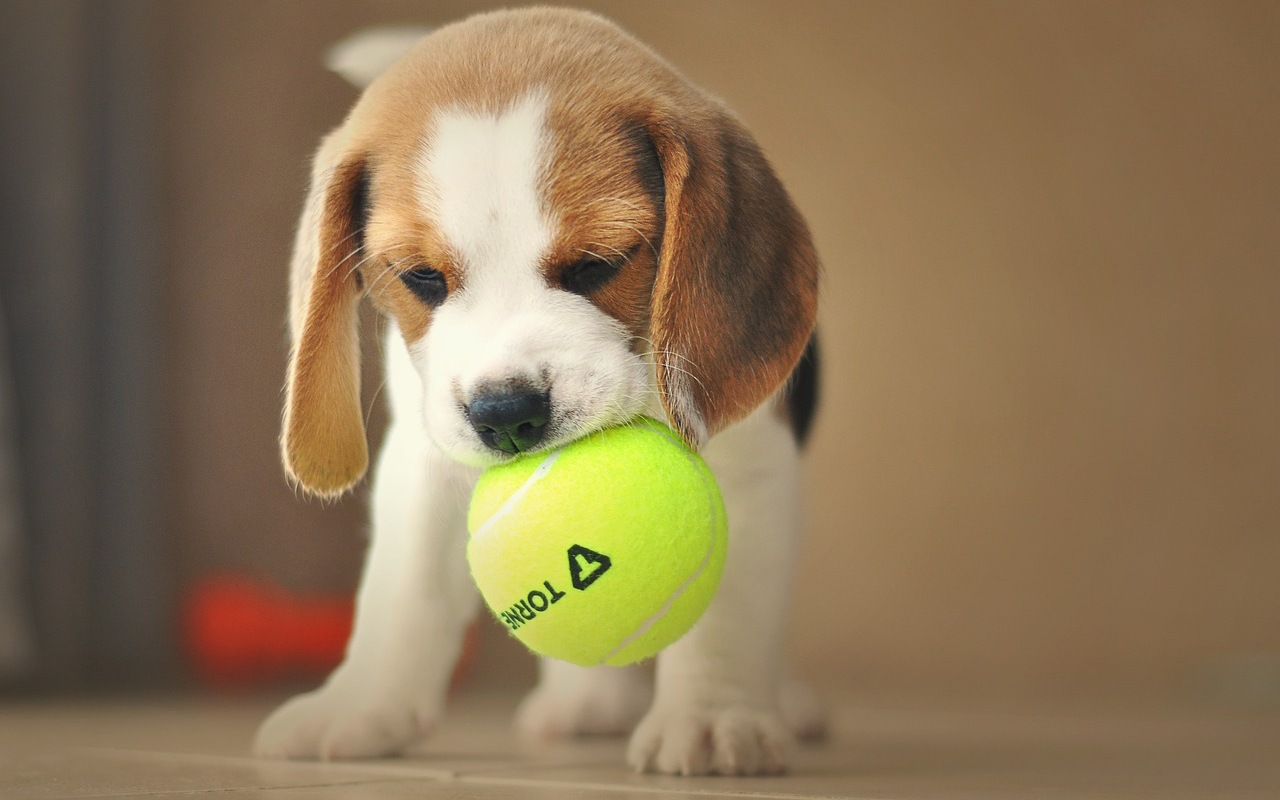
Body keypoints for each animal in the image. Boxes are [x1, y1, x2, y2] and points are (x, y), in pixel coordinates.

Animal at [254, 9, 824, 778]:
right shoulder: (423, 462)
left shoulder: (750, 462)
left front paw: (711, 718)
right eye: (421, 277)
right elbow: (404, 591)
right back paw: (584, 699)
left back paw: (784, 701)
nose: (506, 413)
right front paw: (359, 705)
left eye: (598, 264)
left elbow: (728, 610)